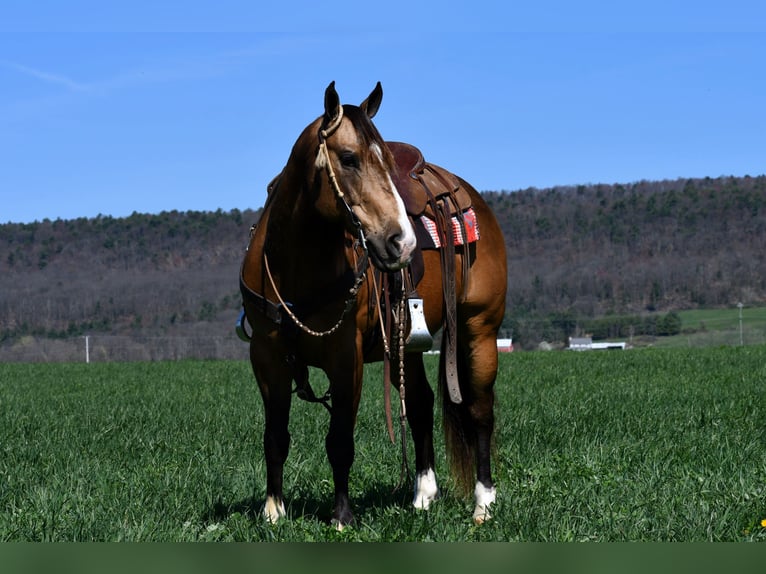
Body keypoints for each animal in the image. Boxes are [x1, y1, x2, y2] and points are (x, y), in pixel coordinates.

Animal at [237, 82, 508, 532]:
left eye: (386, 160)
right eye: (348, 158)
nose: (402, 242)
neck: (296, 265)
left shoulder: (346, 358)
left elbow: (340, 440)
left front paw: (342, 515)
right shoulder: (267, 355)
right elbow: (275, 436)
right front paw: (273, 510)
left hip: (479, 329)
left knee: (479, 410)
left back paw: (483, 503)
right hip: (404, 345)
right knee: (420, 404)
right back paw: (423, 495)